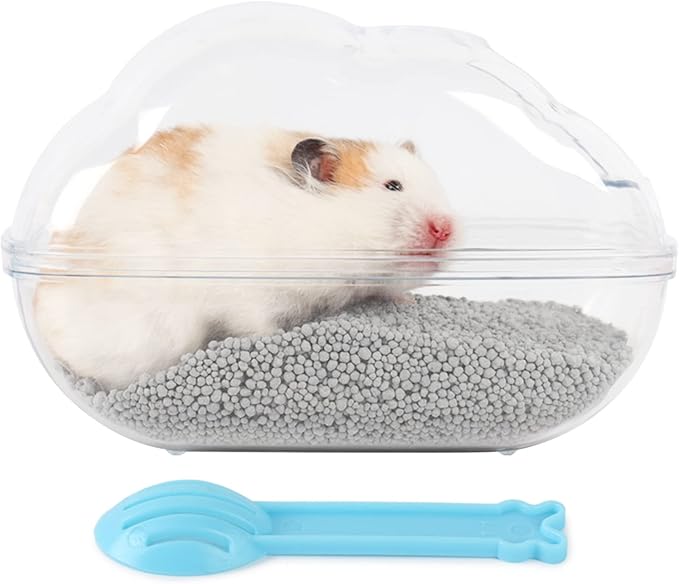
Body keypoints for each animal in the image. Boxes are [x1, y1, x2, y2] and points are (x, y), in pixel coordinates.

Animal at [34, 126, 455, 388]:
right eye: (392, 186)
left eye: (437, 185)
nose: (447, 228)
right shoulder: (246, 294)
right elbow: (257, 326)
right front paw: (275, 344)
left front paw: (405, 300)